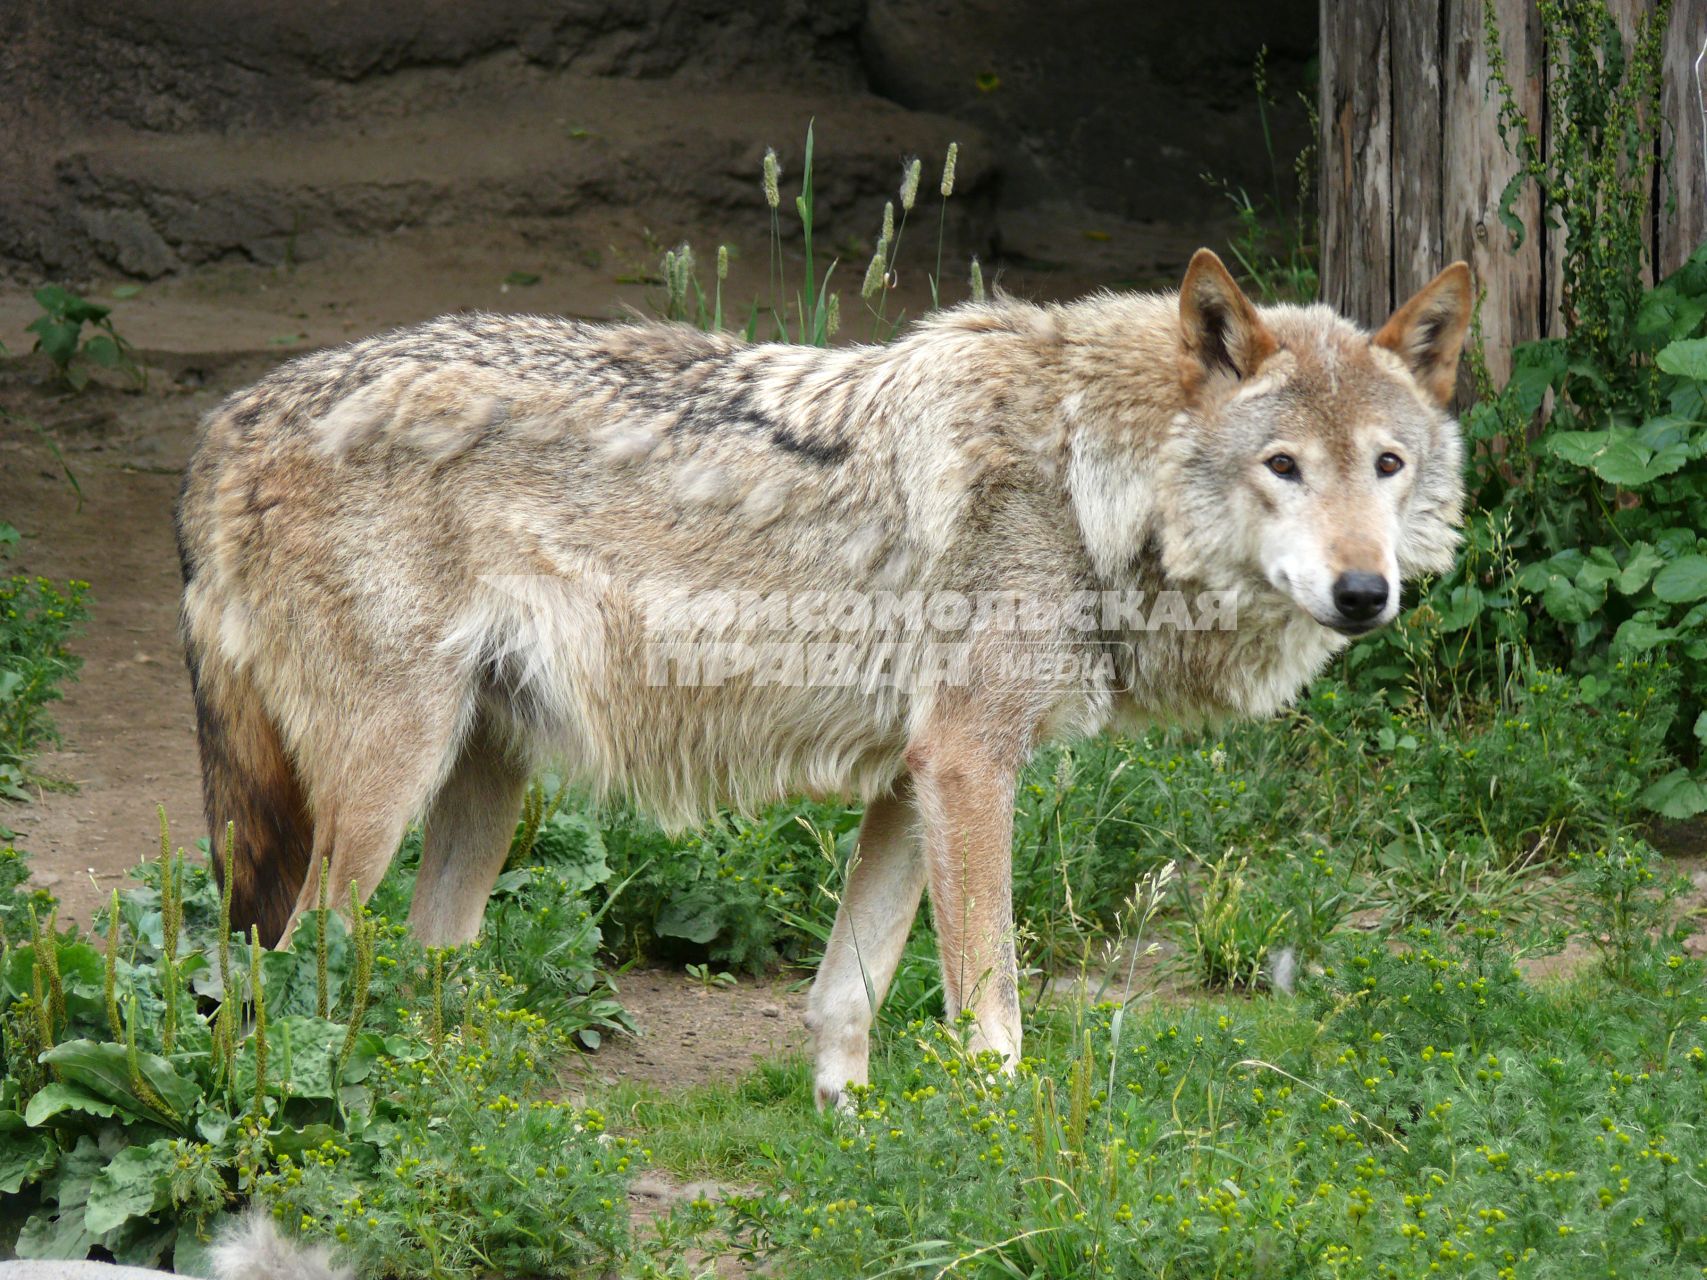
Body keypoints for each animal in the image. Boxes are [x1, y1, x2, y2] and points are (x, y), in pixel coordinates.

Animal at [180, 250, 1474, 1112]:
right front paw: (1006, 1149)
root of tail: (226, 418)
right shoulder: (969, 764)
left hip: (481, 784)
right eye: (1283, 466)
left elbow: (848, 990)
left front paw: (848, 1130)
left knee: (411, 965)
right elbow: (990, 1004)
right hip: (383, 788)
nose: (1364, 590)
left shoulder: (913, 778)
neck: (1085, 477)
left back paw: (449, 1117)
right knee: (288, 971)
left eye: (1387, 464)